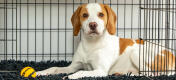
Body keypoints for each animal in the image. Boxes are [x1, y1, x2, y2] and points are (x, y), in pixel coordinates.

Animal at [36, 2, 175, 79]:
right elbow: (54, 68)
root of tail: (171, 54)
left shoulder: (100, 70)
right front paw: (41, 72)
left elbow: (81, 71)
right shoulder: (73, 66)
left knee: (151, 74)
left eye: (101, 14)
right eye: (85, 15)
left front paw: (72, 76)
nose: (93, 25)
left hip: (137, 53)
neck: (91, 44)